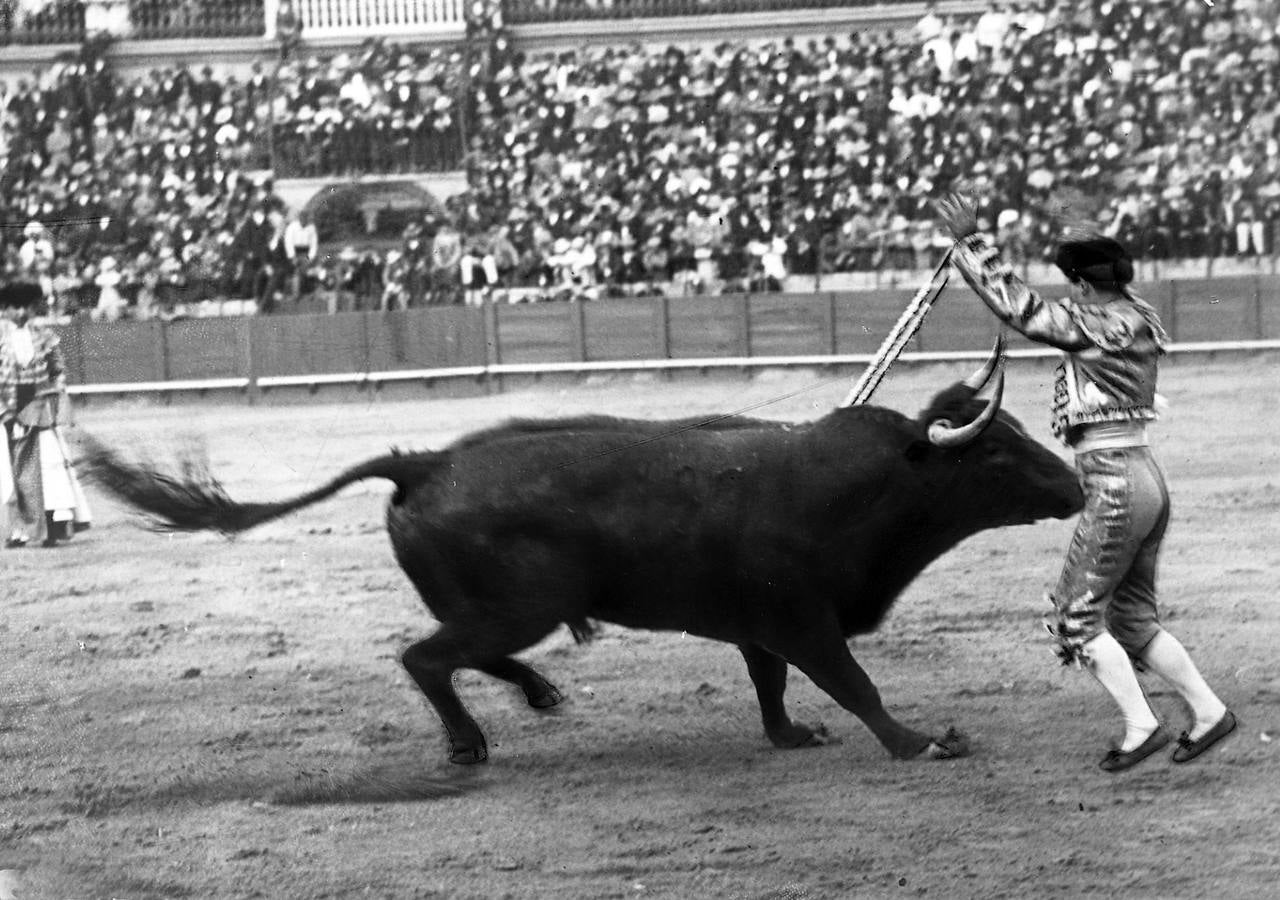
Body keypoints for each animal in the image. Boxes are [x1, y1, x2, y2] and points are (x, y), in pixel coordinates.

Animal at [82, 345, 1080, 768]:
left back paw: (538, 693)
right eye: (996, 452)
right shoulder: (803, 618)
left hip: (498, 607)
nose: (1073, 488)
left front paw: (791, 736)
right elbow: (854, 683)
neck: (855, 488)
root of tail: (425, 460)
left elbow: (772, 686)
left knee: (463, 654)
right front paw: (921, 742)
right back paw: (470, 743)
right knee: (428, 657)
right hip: (511, 604)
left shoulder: (759, 623)